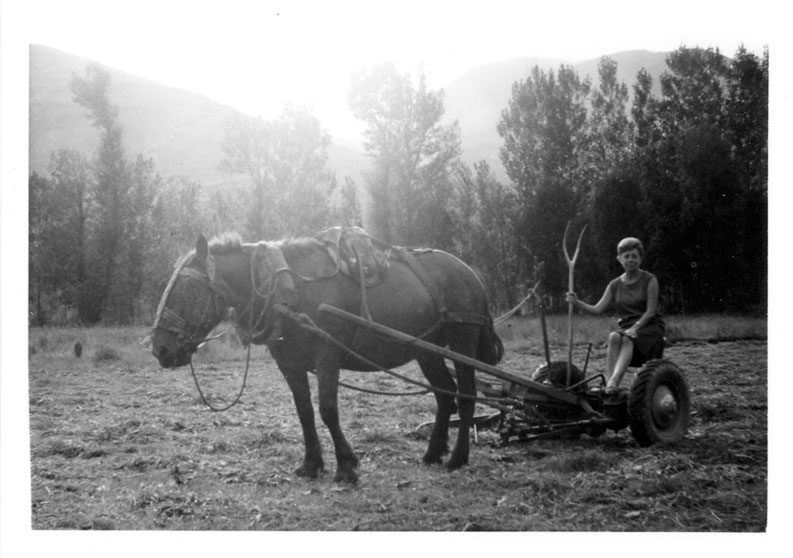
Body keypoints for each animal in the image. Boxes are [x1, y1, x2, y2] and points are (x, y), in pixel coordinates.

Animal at [150, 232, 502, 486]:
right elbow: (305, 412)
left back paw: (457, 458)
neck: (284, 287)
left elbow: (328, 410)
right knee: (445, 395)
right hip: (427, 350)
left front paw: (346, 465)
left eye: (187, 289)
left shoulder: (327, 354)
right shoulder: (289, 363)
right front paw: (311, 464)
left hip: (462, 341)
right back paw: (433, 453)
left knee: (466, 396)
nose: (160, 349)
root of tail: (470, 273)